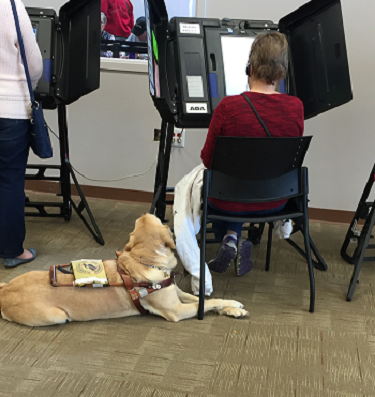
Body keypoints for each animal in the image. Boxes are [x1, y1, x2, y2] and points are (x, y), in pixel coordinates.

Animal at [0, 213, 250, 324]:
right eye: (160, 219)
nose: (146, 212)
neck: (145, 259)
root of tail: (5, 290)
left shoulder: (177, 293)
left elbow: (207, 300)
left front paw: (232, 307)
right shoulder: (176, 311)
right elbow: (205, 304)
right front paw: (231, 308)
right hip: (56, 316)